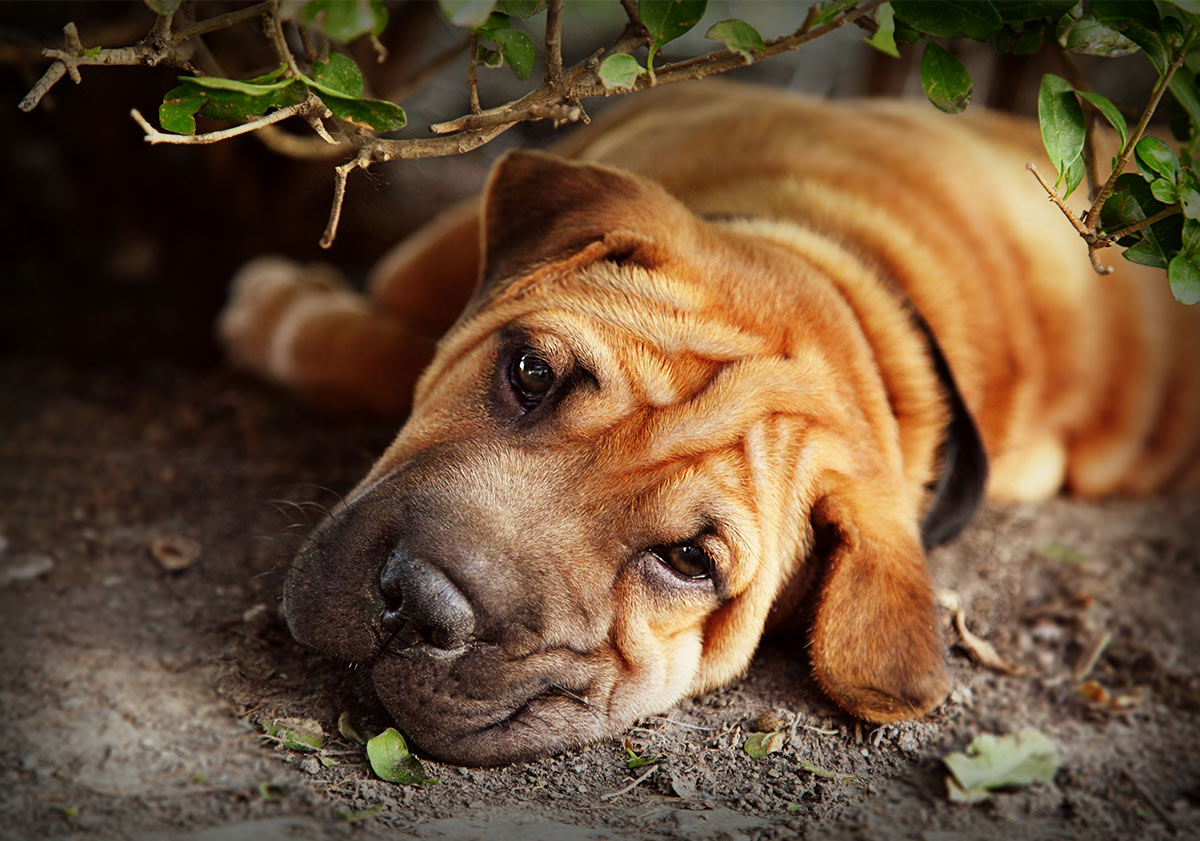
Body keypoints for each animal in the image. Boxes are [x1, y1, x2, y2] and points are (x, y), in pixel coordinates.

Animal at [218, 82, 1200, 763]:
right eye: (531, 372)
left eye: (689, 560)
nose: (421, 604)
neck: (856, 288)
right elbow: (418, 292)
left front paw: (281, 314)